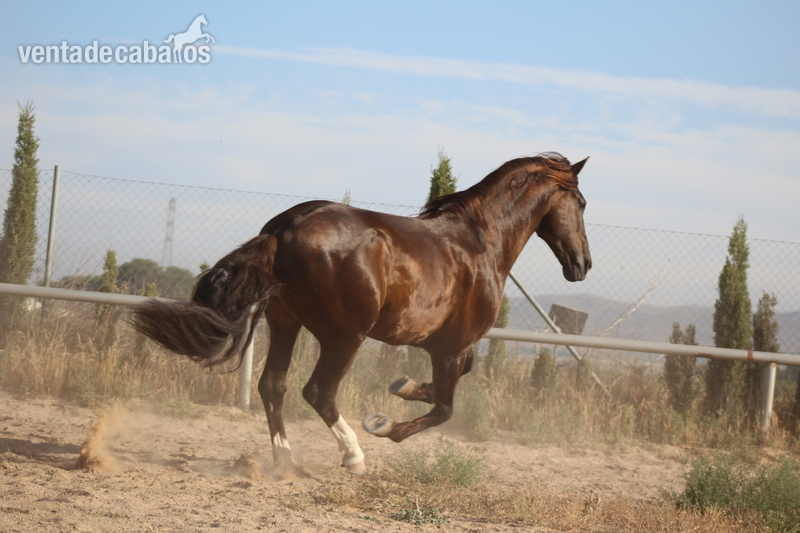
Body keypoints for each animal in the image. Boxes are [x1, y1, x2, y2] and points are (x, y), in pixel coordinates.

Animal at [131, 152, 591, 476]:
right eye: (582, 202)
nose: (582, 264)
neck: (479, 243)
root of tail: (282, 230)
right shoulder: (452, 347)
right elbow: (444, 408)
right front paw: (384, 424)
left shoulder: (446, 346)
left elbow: (450, 384)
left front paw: (405, 385)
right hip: (344, 337)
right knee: (317, 392)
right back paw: (353, 455)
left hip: (285, 323)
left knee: (273, 386)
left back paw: (288, 462)